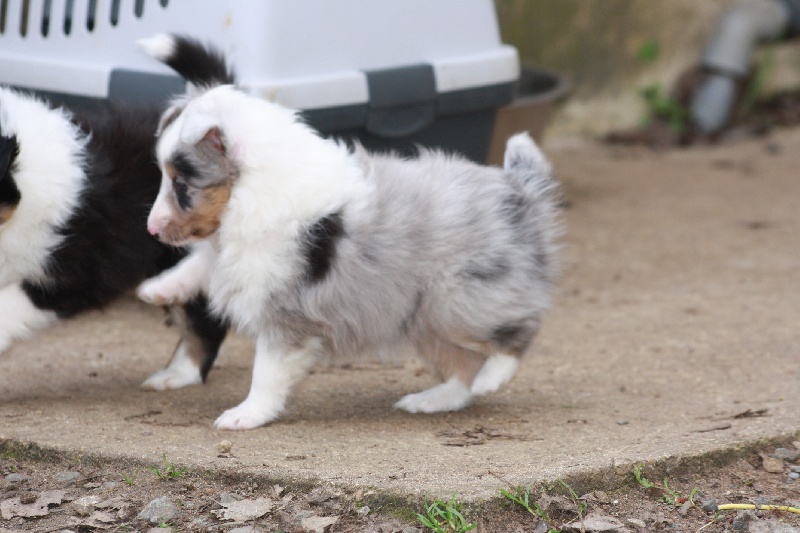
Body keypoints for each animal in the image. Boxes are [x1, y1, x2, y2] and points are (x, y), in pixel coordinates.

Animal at [139, 44, 564, 432]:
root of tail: (520, 191)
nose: (152, 230)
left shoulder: (285, 315)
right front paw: (159, 288)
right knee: (463, 371)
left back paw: (493, 376)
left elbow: (266, 372)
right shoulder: (232, 254)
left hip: (460, 301)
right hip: (425, 317)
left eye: (181, 184)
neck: (249, 188)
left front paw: (247, 415)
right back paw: (433, 399)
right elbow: (200, 263)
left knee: (515, 334)